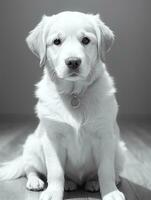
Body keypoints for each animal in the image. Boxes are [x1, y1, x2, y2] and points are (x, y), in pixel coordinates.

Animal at [0, 10, 125, 200]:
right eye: (57, 41)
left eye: (86, 40)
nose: (73, 61)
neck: (75, 94)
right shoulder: (52, 138)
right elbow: (55, 171)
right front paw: (53, 192)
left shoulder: (105, 136)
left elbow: (105, 170)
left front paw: (110, 192)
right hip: (32, 145)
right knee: (30, 168)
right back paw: (39, 182)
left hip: (120, 150)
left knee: (108, 171)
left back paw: (96, 182)